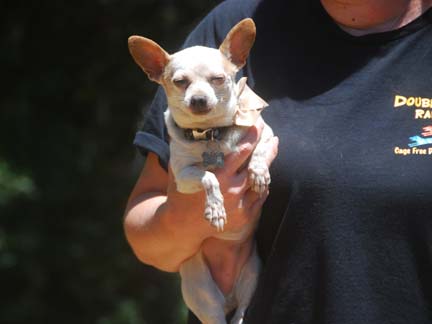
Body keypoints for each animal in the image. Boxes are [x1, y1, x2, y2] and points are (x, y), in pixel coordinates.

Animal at [128, 19, 274, 324]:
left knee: (242, 312)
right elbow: (209, 177)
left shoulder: (266, 133)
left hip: (252, 277)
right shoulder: (184, 176)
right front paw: (215, 208)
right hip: (202, 292)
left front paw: (258, 174)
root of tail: (228, 298)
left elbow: (260, 152)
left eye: (218, 79)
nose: (197, 99)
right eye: (179, 82)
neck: (211, 134)